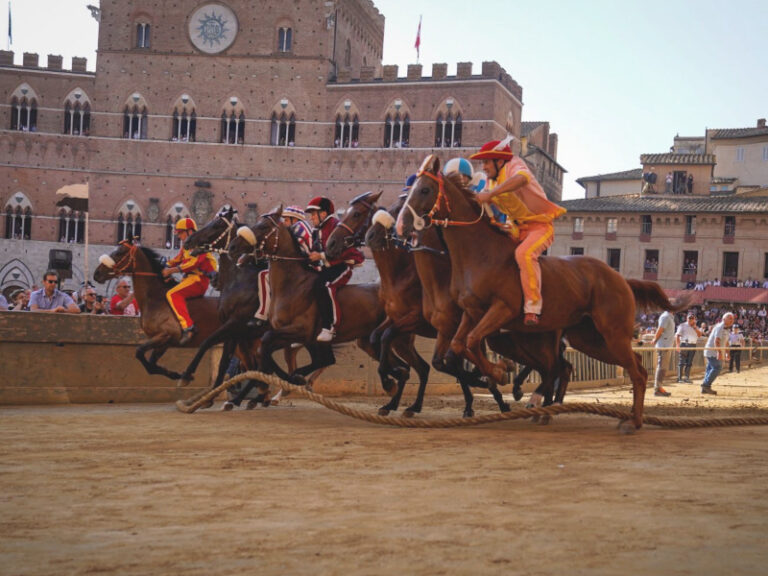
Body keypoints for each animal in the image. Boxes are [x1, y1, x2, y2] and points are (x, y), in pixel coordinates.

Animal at [92, 240, 222, 380]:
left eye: (119, 252)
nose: (96, 274)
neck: (154, 298)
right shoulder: (162, 342)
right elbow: (151, 365)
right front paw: (177, 374)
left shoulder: (166, 334)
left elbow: (139, 352)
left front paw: (181, 375)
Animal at [340, 194, 572, 418]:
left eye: (357, 214)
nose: (335, 242)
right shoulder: (421, 325)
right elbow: (386, 340)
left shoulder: (425, 321)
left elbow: (452, 362)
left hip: (523, 338)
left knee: (553, 365)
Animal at [400, 155, 688, 430]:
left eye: (424, 189)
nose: (402, 225)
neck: (480, 253)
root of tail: (622, 279)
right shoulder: (471, 313)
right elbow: (461, 345)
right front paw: (499, 372)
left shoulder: (502, 308)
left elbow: (470, 342)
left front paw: (500, 371)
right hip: (589, 338)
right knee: (627, 366)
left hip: (611, 333)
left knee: (631, 372)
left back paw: (631, 422)